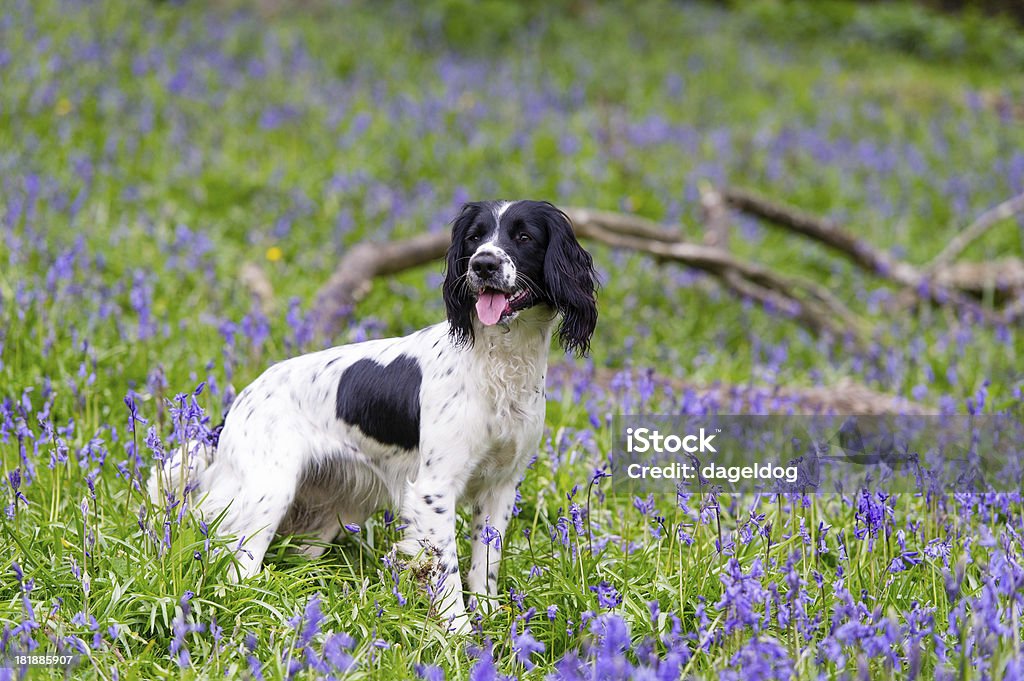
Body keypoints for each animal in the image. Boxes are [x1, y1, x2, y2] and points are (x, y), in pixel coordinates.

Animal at [149, 200, 598, 626]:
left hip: (332, 512)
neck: (499, 366)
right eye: (474, 237)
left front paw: (491, 624)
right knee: (237, 570)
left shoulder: (500, 487)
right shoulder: (434, 490)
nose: (483, 264)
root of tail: (236, 407)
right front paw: (458, 634)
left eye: (523, 236)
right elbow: (448, 574)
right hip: (267, 494)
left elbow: (484, 567)